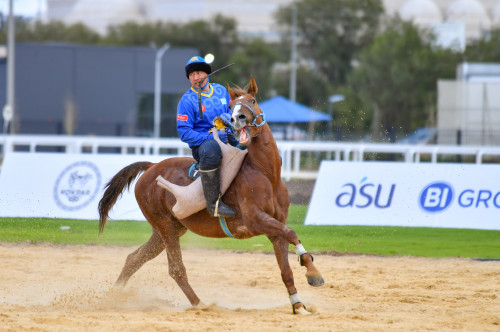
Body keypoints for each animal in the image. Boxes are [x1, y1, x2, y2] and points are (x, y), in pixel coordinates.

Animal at [97, 76, 324, 316]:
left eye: (252, 100)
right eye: (232, 107)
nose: (237, 118)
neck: (265, 173)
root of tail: (151, 167)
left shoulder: (275, 229)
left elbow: (286, 266)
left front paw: (298, 304)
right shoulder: (256, 220)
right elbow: (291, 232)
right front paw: (313, 272)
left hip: (167, 230)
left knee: (134, 258)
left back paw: (113, 296)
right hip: (165, 228)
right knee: (176, 269)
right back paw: (200, 304)